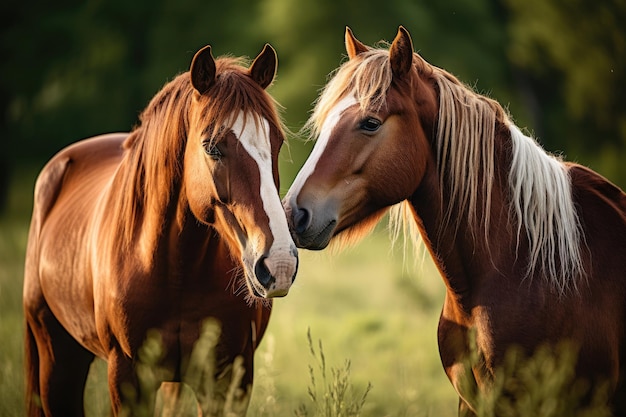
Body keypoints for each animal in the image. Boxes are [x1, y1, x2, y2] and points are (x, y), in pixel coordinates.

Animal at [23, 43, 298, 416]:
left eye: (277, 142)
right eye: (212, 147)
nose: (279, 264)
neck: (175, 269)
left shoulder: (228, 382)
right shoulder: (128, 379)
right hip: (58, 358)